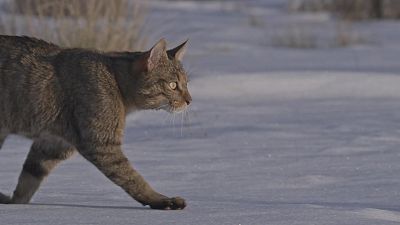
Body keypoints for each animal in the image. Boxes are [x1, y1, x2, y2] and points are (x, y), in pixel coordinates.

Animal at [0, 34, 192, 209]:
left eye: (186, 83)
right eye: (173, 85)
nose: (189, 100)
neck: (116, 80)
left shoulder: (53, 144)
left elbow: (29, 179)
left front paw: (14, 203)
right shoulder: (101, 143)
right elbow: (131, 177)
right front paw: (159, 199)